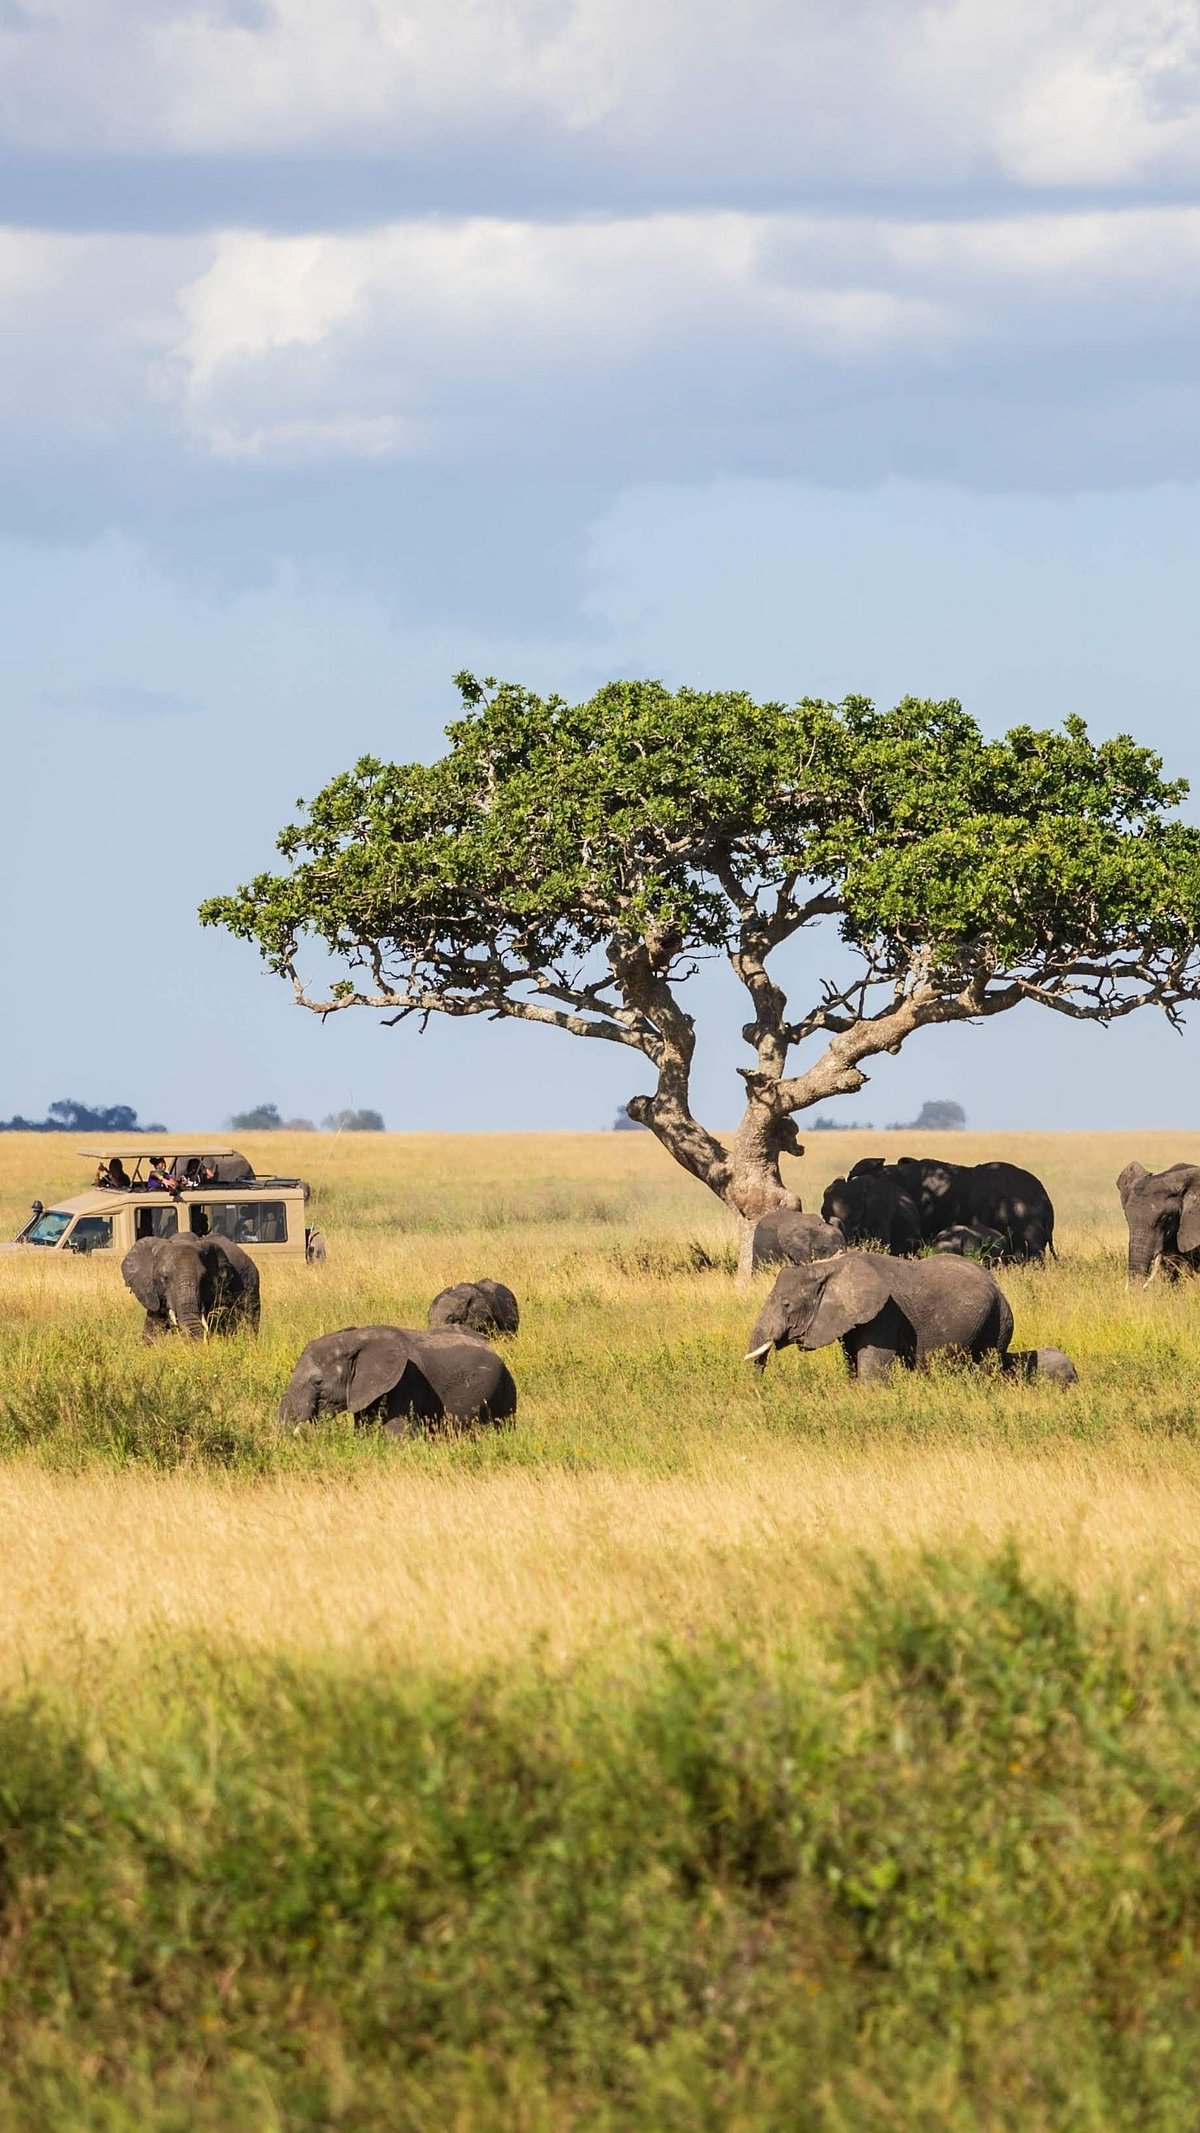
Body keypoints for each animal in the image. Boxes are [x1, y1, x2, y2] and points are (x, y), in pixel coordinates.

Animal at [744, 1250, 1014, 1383]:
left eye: (787, 1304)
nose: (761, 1390)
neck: (830, 1266)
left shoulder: (885, 1314)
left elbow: (871, 1374)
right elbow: (852, 1363)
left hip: (998, 1320)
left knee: (987, 1365)